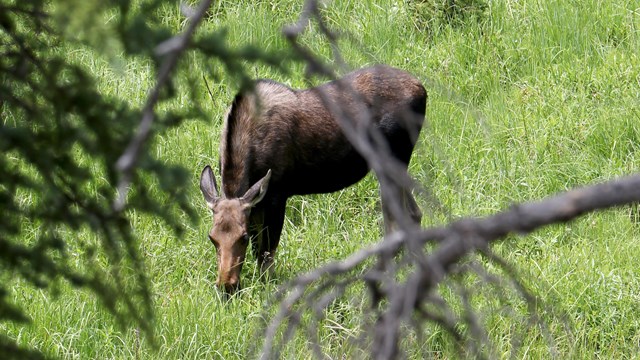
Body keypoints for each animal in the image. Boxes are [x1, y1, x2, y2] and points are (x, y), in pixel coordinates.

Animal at [200, 65, 428, 292]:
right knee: (414, 213)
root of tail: (422, 90)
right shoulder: (257, 203)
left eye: (243, 237)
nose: (226, 286)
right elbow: (259, 251)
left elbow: (266, 254)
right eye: (212, 237)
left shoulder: (277, 195)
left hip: (391, 159)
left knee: (395, 221)